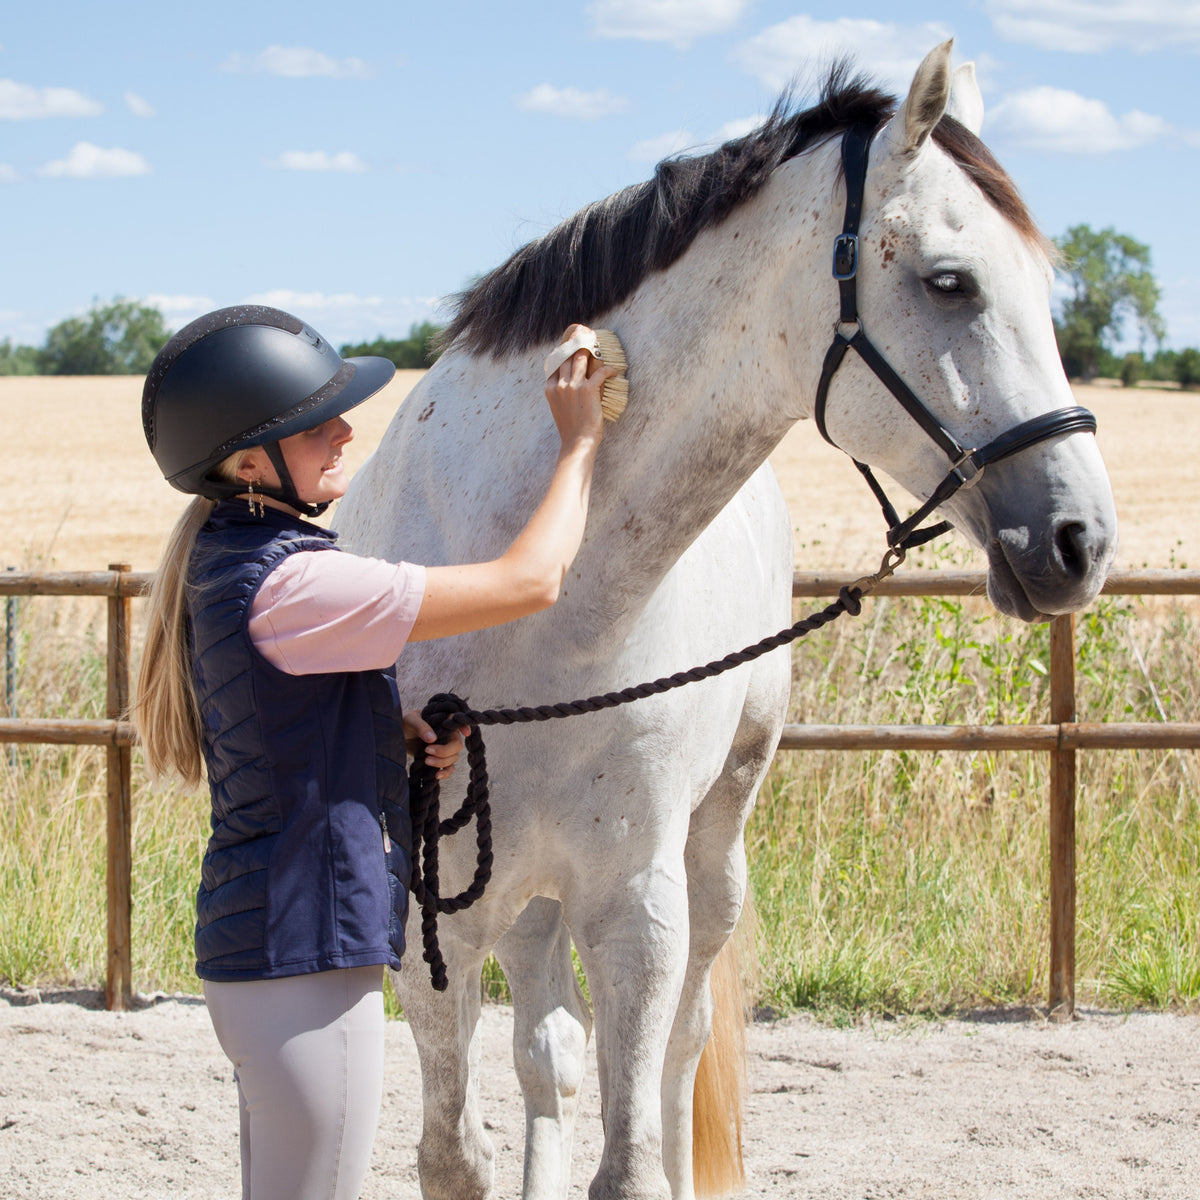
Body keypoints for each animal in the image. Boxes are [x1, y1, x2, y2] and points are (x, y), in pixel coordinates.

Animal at [336, 41, 1117, 1200]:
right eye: (950, 281)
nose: (1079, 541)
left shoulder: (639, 908)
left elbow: (632, 1154)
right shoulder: (441, 916)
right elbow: (454, 1152)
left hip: (714, 850)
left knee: (678, 1045)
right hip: (533, 896)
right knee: (548, 1051)